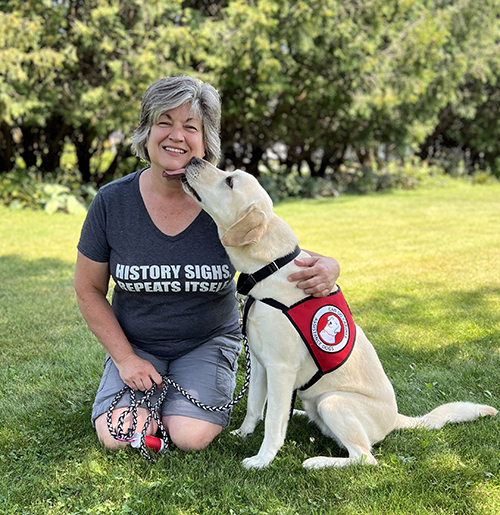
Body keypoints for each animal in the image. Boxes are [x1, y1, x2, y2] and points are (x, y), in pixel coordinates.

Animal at [182, 158, 494, 472]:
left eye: (230, 181)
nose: (195, 160)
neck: (270, 267)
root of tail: (395, 419)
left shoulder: (280, 368)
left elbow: (271, 423)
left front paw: (262, 459)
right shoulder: (259, 364)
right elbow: (255, 407)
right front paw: (243, 433)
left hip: (333, 402)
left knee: (365, 457)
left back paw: (317, 461)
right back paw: (299, 415)